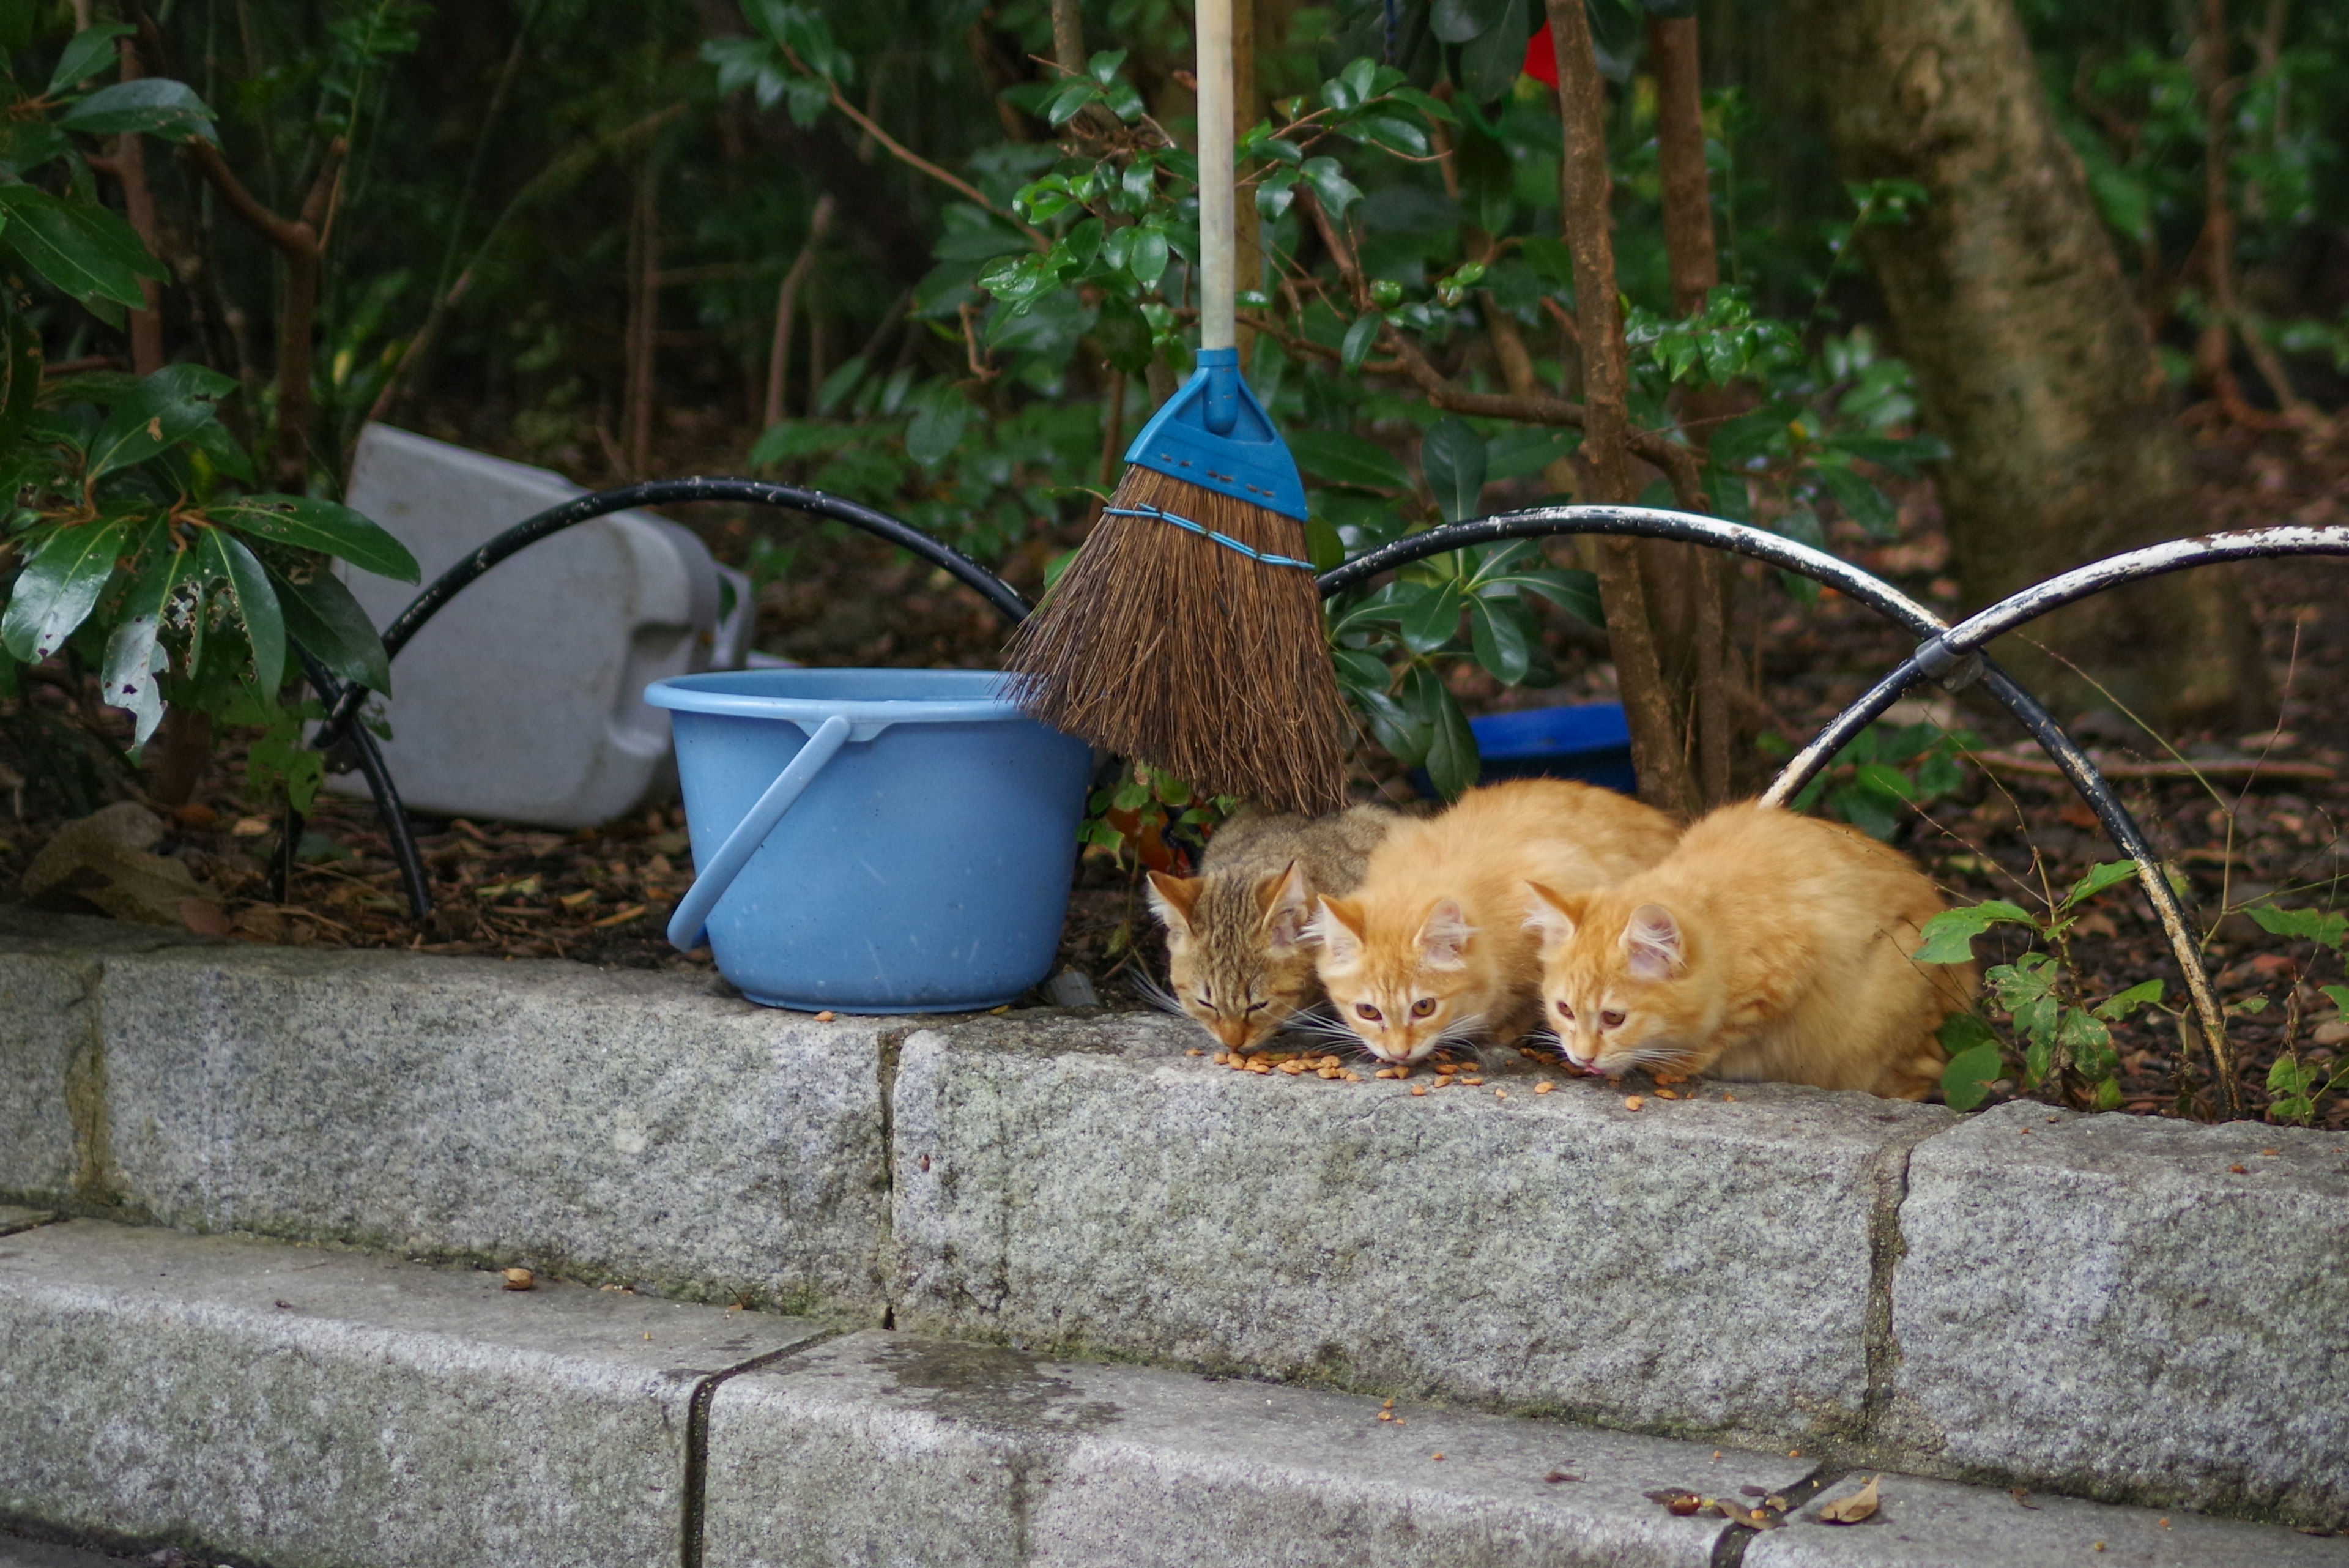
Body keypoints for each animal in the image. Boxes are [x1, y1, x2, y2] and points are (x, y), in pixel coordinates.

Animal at [1522, 804, 1982, 1100]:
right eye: (1564, 1010)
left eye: (1614, 1018)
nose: (1583, 1058)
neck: (1724, 924)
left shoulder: (1783, 978)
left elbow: (1723, 1031)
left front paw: (1676, 1062)